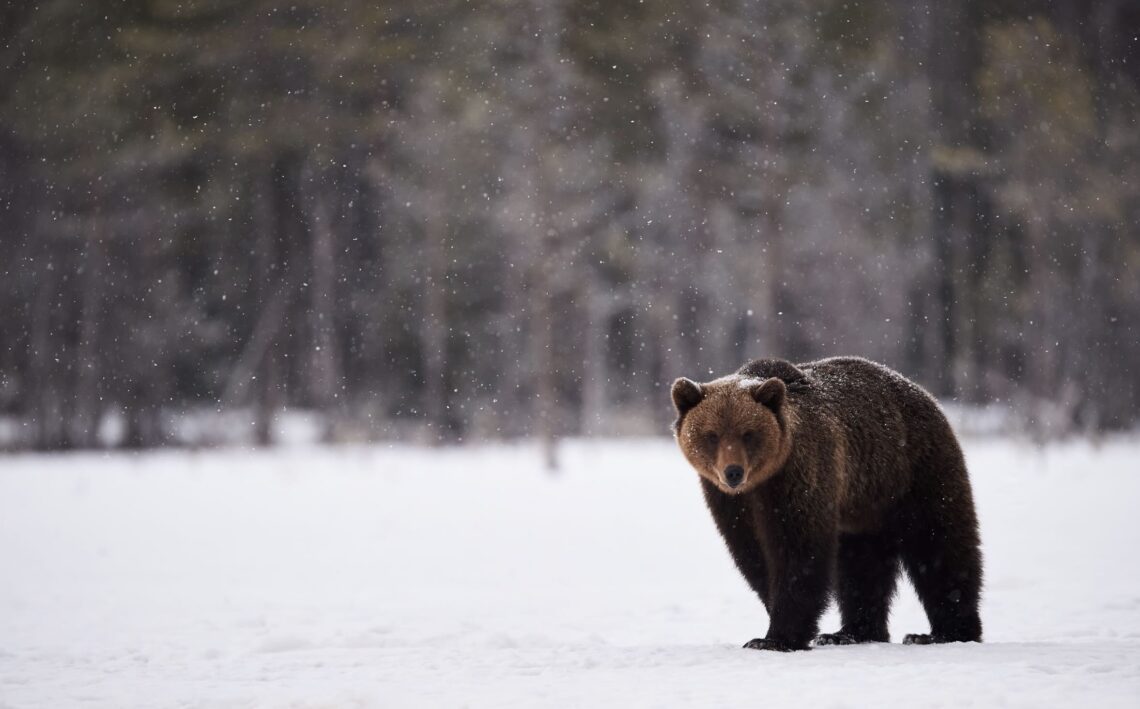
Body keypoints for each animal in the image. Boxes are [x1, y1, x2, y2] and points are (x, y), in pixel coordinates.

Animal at [671, 356, 983, 651]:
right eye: (712, 435)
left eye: (748, 433)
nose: (733, 472)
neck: (763, 482)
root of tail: (924, 394)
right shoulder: (732, 504)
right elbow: (754, 555)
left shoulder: (800, 477)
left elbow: (798, 552)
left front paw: (775, 638)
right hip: (864, 507)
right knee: (861, 565)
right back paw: (852, 633)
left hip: (915, 472)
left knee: (939, 543)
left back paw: (943, 633)